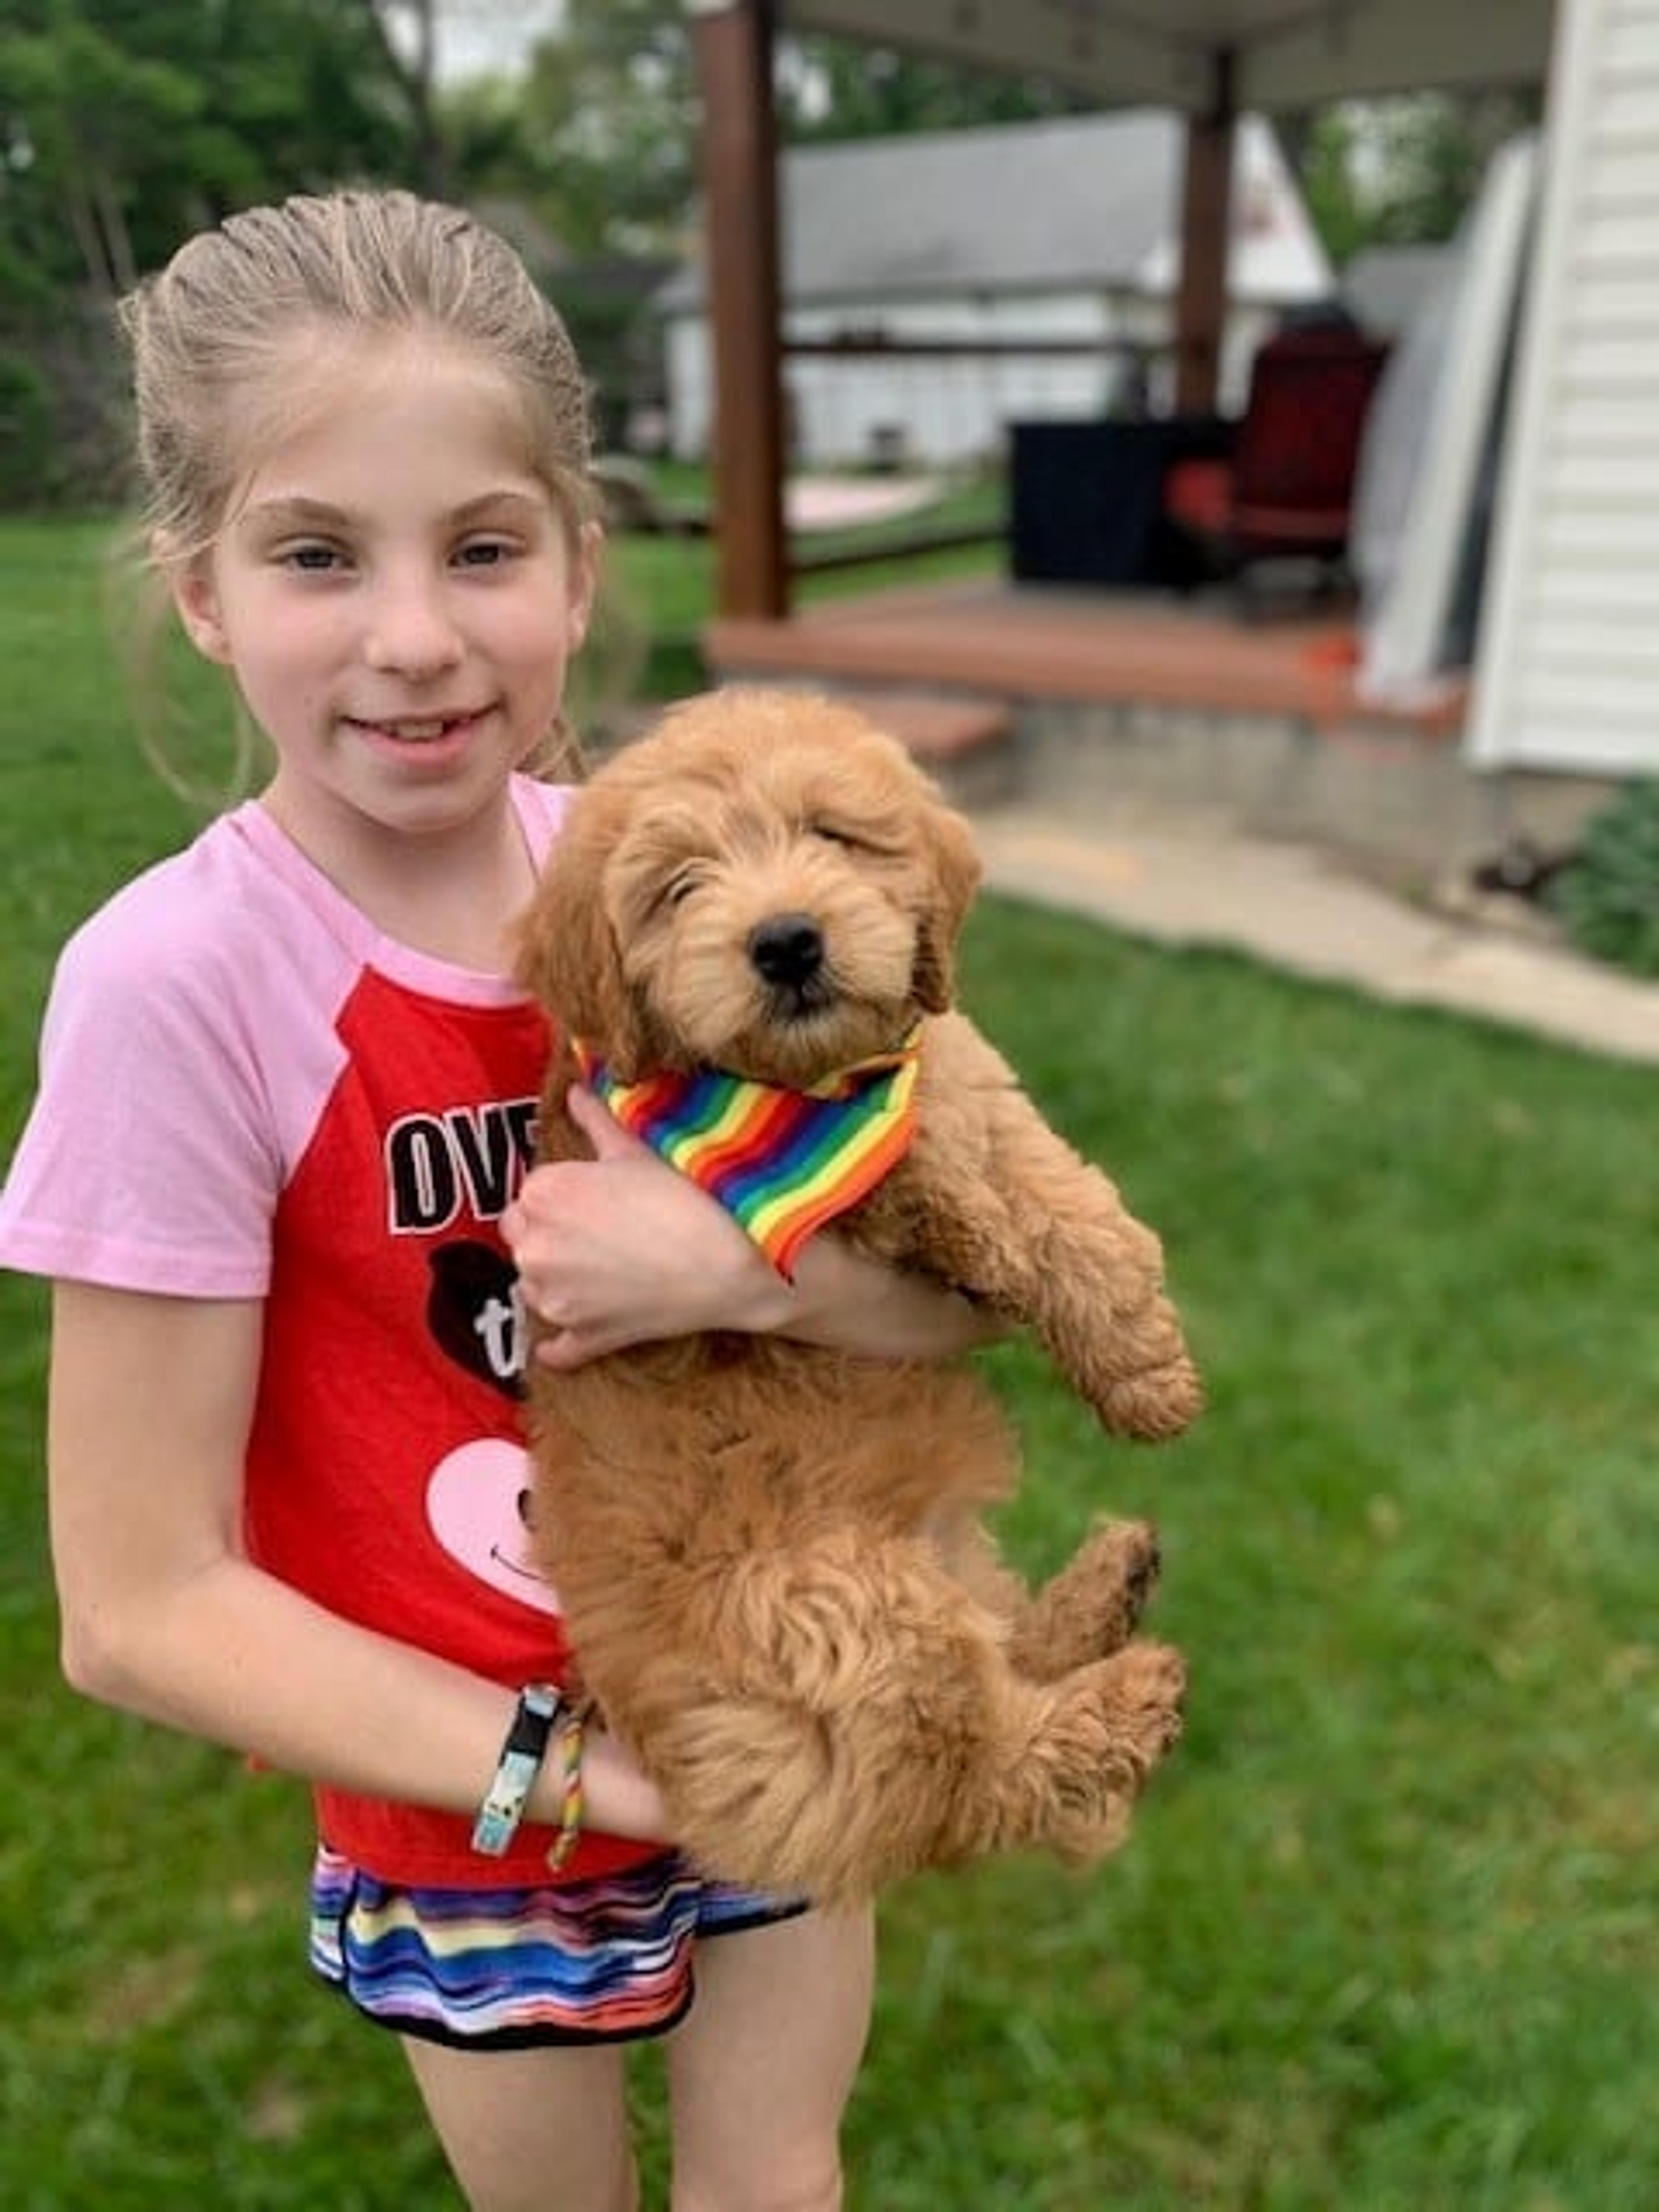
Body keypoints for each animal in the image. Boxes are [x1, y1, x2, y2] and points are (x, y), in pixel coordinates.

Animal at [513, 690, 1203, 1902]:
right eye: (679, 886)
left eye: (832, 836)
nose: (785, 940)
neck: (824, 1081)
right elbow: (930, 1186)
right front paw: (986, 1242)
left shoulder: (972, 1079)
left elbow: (1067, 1198)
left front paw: (1146, 1369)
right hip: (850, 1614)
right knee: (970, 1785)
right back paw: (1123, 1700)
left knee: (999, 1675)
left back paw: (1111, 1588)